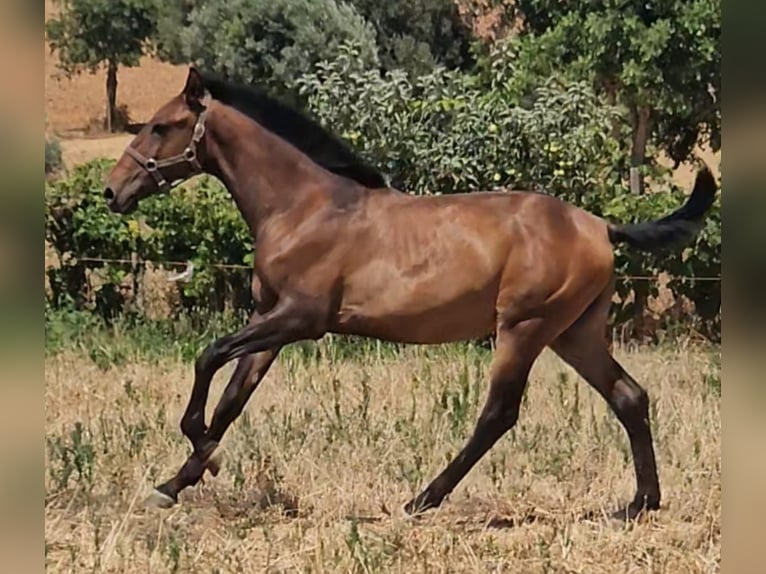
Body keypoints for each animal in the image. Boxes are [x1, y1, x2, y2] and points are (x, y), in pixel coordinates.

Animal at [103, 67, 720, 520]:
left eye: (161, 126)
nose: (112, 191)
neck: (304, 207)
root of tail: (600, 226)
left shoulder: (301, 318)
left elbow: (207, 357)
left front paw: (203, 454)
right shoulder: (269, 321)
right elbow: (232, 399)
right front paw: (175, 481)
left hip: (524, 328)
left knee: (498, 413)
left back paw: (422, 498)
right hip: (574, 332)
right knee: (629, 396)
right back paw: (640, 503)